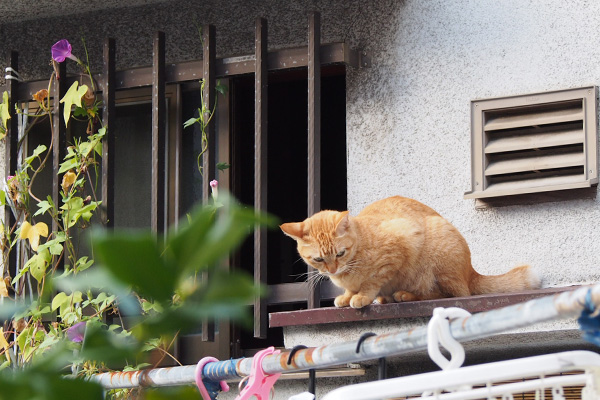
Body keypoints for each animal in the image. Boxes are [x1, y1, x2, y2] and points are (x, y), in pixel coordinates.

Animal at [278, 197, 540, 310]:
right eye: (318, 259)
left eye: (341, 253)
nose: (333, 269)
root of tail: (471, 272)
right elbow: (353, 289)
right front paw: (347, 295)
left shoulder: (400, 244)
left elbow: (372, 281)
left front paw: (361, 296)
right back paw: (387, 297)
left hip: (440, 261)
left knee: (444, 294)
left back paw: (404, 295)